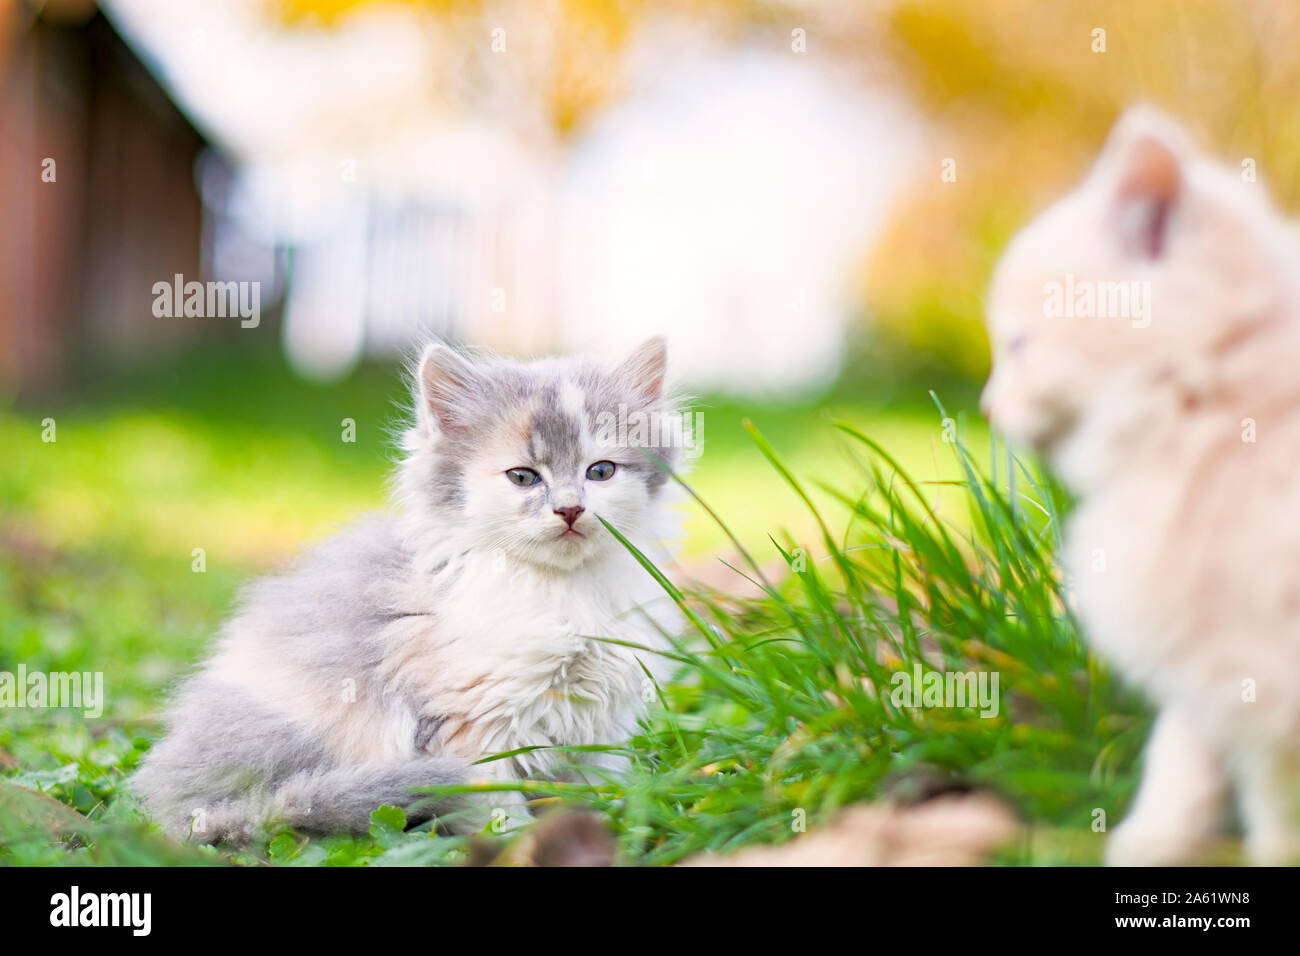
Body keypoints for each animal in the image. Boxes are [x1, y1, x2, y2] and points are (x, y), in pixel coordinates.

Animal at [135, 340, 686, 842]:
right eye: (524, 477)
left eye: (601, 471)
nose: (570, 509)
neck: (561, 591)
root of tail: (176, 801)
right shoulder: (473, 724)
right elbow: (496, 801)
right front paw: (516, 843)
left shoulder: (603, 716)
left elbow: (591, 782)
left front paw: (607, 824)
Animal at [977, 106, 1300, 868]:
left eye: (1018, 346)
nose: (986, 407)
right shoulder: (1216, 667)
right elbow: (1178, 760)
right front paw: (1149, 844)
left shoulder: (1262, 678)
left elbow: (1274, 807)